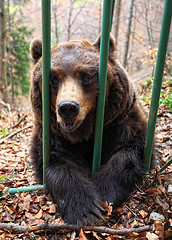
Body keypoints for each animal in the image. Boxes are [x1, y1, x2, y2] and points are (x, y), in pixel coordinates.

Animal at [30, 34, 148, 227]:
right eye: (53, 79)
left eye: (85, 76)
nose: (68, 107)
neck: (83, 132)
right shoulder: (51, 134)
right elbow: (54, 161)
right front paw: (86, 209)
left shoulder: (120, 121)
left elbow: (131, 151)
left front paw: (104, 192)